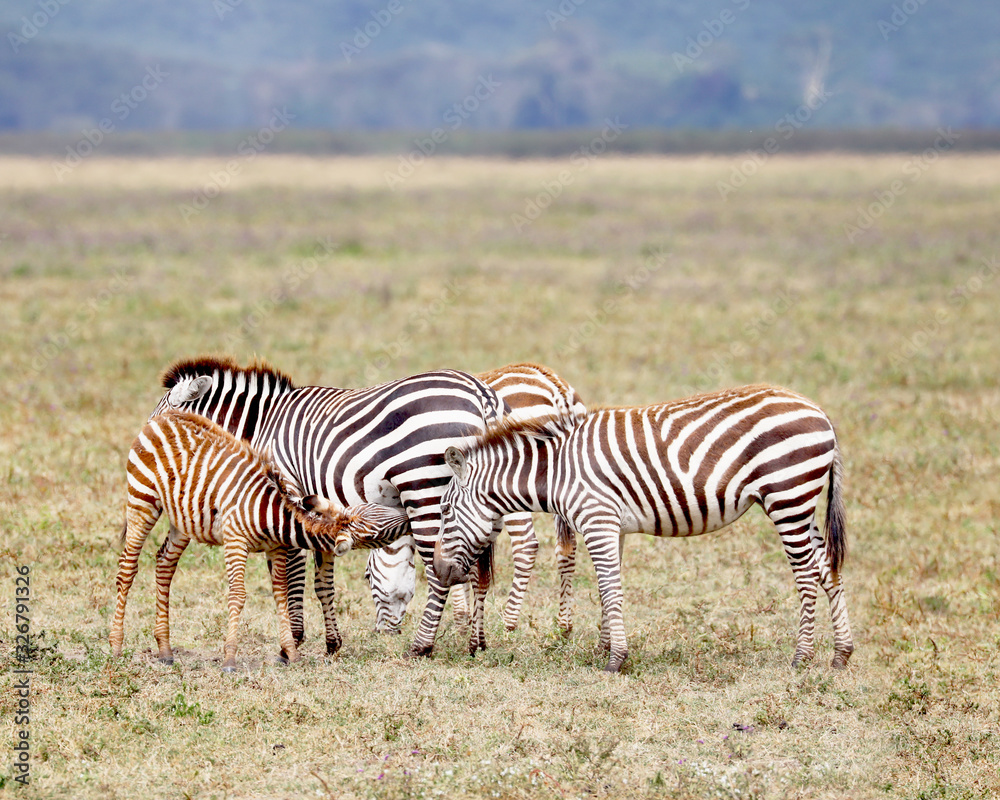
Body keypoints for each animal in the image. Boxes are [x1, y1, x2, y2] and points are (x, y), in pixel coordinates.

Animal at [109, 410, 411, 671]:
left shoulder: (275, 549)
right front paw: (230, 659)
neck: (271, 514)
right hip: (142, 499)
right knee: (127, 567)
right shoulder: (235, 541)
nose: (407, 514)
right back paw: (116, 646)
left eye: (373, 508)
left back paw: (165, 650)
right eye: (374, 533)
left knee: (164, 564)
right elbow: (238, 595)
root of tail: (165, 416)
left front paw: (291, 653)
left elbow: (281, 595)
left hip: (182, 519)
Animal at [145, 356, 505, 659]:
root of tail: (480, 395)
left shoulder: (286, 493)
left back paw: (421, 646)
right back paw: (477, 644)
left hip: (425, 490)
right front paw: (331, 644)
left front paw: (292, 641)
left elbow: (288, 574)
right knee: (479, 573)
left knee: (439, 571)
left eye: (159, 425)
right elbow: (322, 582)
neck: (260, 427)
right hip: (476, 503)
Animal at [366, 362, 587, 635]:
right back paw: (564, 624)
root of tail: (555, 385)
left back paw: (509, 621)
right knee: (568, 547)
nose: (381, 633)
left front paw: (461, 617)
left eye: (367, 576)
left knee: (526, 544)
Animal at [432, 384, 856, 673]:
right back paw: (841, 654)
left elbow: (610, 589)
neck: (556, 472)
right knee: (828, 569)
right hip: (802, 503)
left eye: (445, 509)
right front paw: (604, 648)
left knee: (806, 575)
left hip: (787, 497)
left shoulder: (598, 520)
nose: (439, 570)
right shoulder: (612, 526)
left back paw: (802, 657)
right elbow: (606, 590)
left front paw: (615, 660)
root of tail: (821, 413)